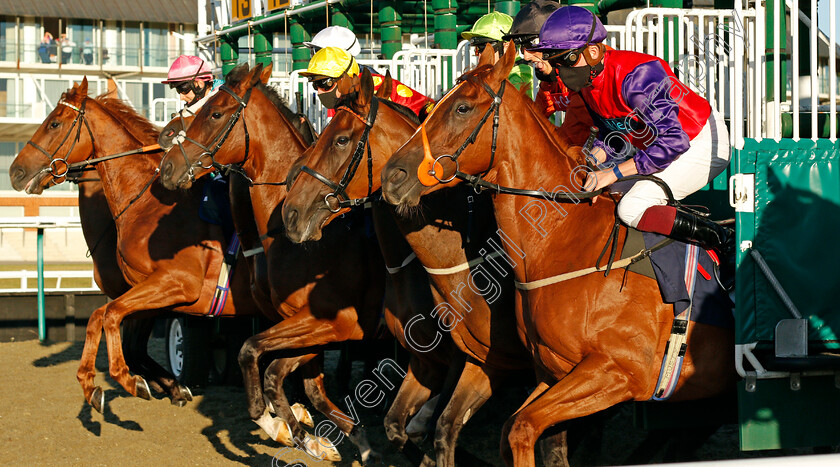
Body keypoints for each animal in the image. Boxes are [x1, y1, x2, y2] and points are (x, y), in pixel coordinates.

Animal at [7, 79, 262, 416]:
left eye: (54, 123)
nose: (15, 172)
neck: (146, 203)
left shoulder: (175, 285)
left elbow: (116, 326)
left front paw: (144, 382)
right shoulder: (146, 292)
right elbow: (104, 319)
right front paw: (100, 386)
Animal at [158, 63, 388, 464]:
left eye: (214, 113)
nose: (167, 166)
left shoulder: (332, 323)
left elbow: (260, 363)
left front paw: (287, 427)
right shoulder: (301, 323)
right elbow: (302, 385)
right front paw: (332, 438)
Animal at [380, 44, 736, 467]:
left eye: (462, 108)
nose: (392, 176)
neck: (569, 243)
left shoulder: (617, 372)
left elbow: (521, 428)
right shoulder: (553, 371)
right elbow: (516, 430)